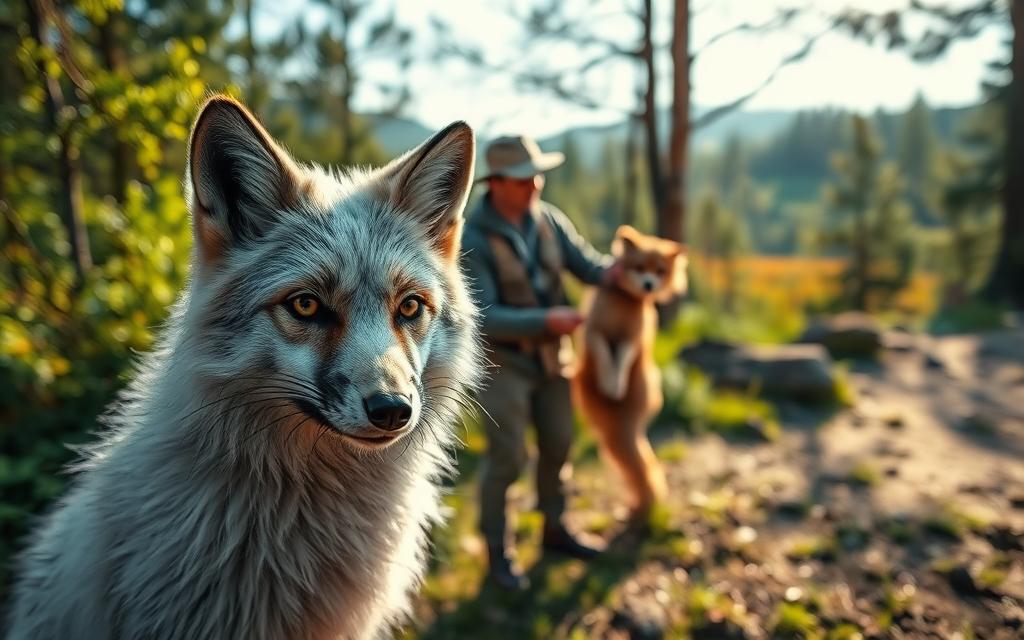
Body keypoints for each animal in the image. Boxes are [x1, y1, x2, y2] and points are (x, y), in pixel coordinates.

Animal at [572, 225, 687, 521]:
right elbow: (603, 354)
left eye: (660, 271)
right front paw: (607, 380)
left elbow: (623, 359)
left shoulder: (631, 340)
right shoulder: (595, 331)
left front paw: (616, 384)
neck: (624, 302)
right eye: (639, 267)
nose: (649, 285)